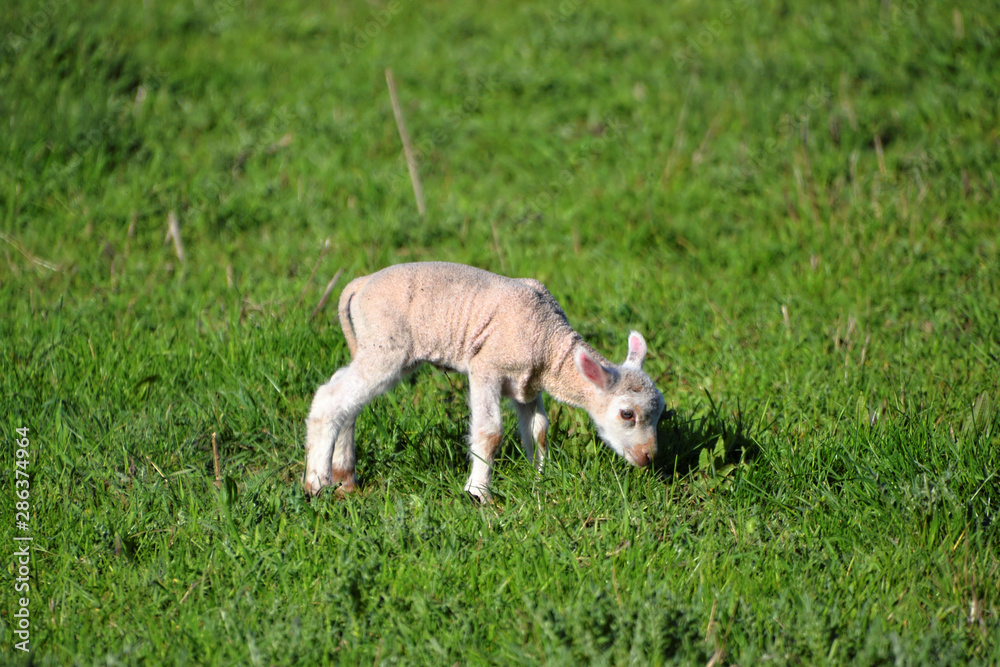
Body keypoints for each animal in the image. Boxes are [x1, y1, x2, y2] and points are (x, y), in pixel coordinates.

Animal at [304, 261, 665, 502]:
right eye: (627, 414)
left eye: (661, 411)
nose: (649, 458)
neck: (549, 342)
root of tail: (359, 284)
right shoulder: (486, 368)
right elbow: (490, 433)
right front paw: (478, 493)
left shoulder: (527, 384)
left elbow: (539, 431)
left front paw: (540, 478)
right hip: (386, 343)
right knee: (329, 398)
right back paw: (316, 482)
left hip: (376, 346)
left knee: (346, 401)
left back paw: (345, 478)